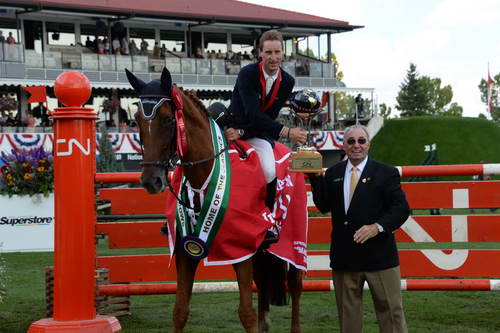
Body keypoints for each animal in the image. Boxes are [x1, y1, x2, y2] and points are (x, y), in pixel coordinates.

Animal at [127, 66, 302, 330]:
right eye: (137, 119)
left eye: (168, 119)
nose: (150, 180)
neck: (205, 175)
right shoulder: (186, 251)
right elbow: (180, 311)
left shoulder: (241, 250)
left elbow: (246, 313)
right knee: (263, 286)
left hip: (293, 242)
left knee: (295, 285)